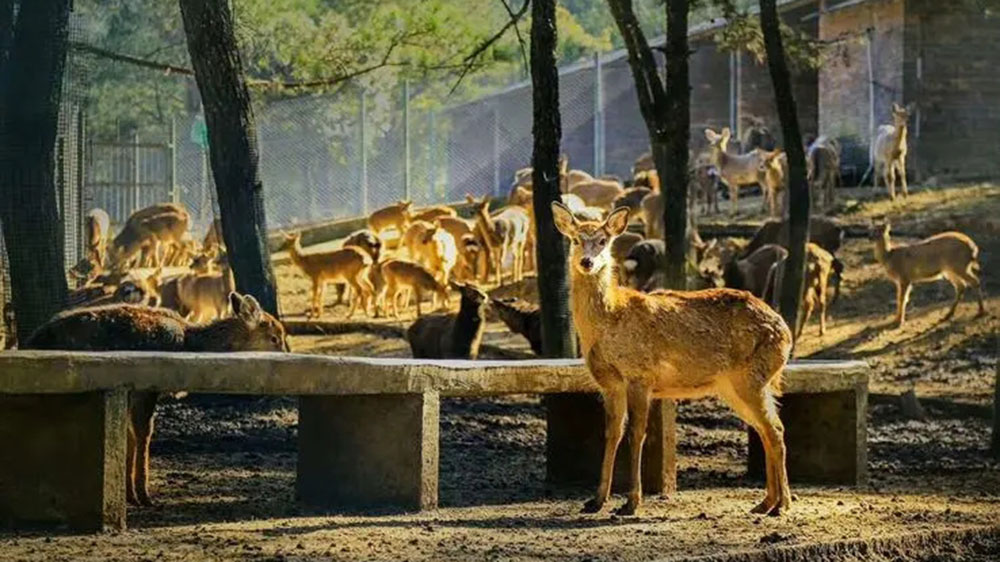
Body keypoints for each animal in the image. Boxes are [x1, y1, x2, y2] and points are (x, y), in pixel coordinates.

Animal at [24, 290, 290, 506]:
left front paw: (130, 495)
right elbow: (144, 433)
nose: (287, 352)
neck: (189, 342)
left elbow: (130, 434)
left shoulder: (130, 390)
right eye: (274, 337)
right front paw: (144, 496)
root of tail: (31, 341)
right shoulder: (146, 387)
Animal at [552, 201, 792, 516]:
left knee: (774, 429)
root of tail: (786, 332)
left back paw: (782, 504)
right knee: (766, 430)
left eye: (603, 241)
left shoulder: (640, 375)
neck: (610, 318)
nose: (587, 262)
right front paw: (596, 500)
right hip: (735, 385)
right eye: (575, 240)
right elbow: (611, 434)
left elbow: (636, 434)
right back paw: (765, 503)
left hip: (752, 378)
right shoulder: (610, 385)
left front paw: (631, 502)